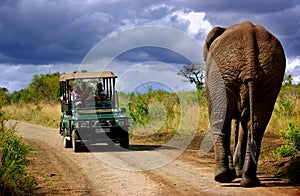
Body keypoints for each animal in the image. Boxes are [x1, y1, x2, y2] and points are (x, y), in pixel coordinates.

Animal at [203, 21, 284, 187]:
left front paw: (234, 172)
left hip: (222, 72)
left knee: (221, 118)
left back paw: (223, 176)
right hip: (271, 75)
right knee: (257, 124)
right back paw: (249, 181)